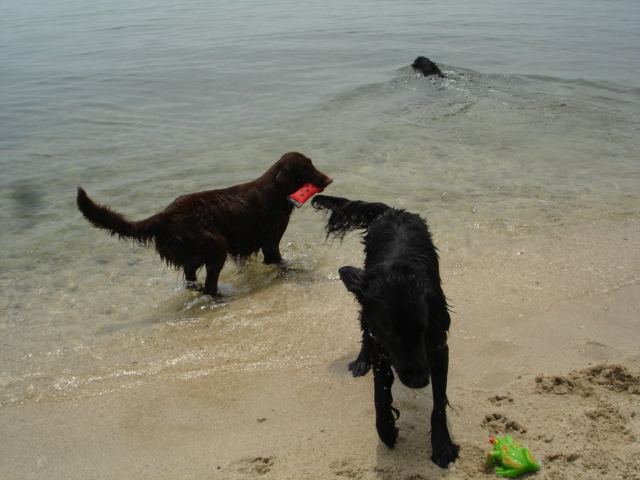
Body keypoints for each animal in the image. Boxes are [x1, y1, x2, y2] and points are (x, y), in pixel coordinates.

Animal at [312, 195, 458, 468]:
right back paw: (361, 361)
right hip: (364, 308)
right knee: (364, 333)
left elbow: (439, 403)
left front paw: (442, 444)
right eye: (393, 334)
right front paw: (387, 430)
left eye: (422, 329)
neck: (398, 274)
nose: (420, 382)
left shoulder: (438, 345)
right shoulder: (382, 345)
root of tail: (393, 211)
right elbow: (380, 396)